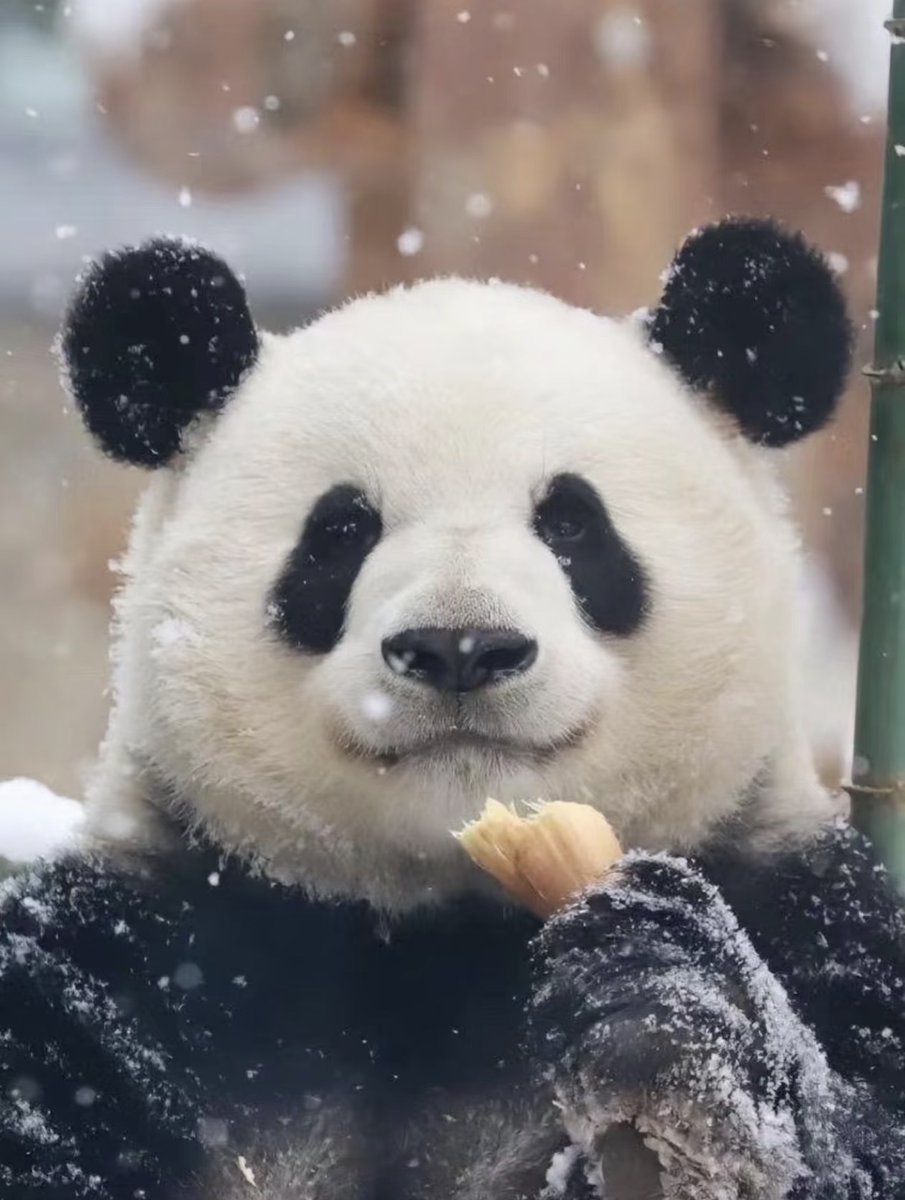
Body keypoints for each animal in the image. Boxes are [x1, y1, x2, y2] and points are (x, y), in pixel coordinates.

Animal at [1, 216, 904, 1200]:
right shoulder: (146, 949)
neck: (440, 936)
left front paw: (661, 1004)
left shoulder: (803, 908)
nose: (459, 646)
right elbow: (49, 1089)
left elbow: (860, 1125)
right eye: (341, 530)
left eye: (572, 523)